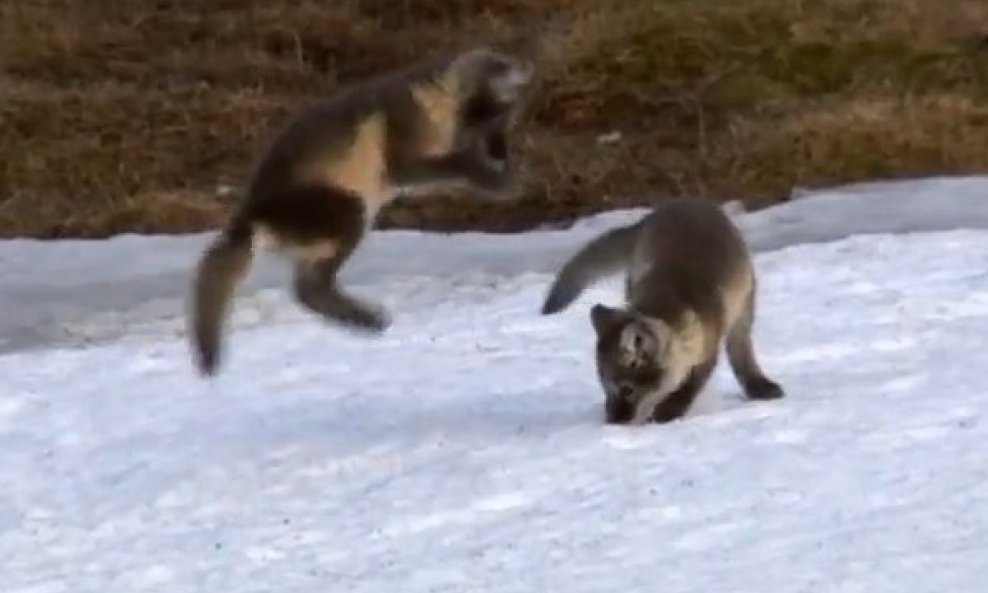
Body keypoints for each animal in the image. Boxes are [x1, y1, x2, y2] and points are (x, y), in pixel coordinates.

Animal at [189, 48, 536, 376]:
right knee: (308, 289)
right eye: (493, 125)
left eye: (504, 128)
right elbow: (452, 164)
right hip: (350, 211)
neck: (436, 105)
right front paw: (495, 180)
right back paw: (368, 320)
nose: (503, 158)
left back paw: (360, 319)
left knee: (307, 287)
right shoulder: (402, 148)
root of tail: (250, 216)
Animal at [536, 197, 784, 424]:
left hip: (743, 311)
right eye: (605, 387)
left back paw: (760, 387)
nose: (612, 422)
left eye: (627, 389)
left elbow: (686, 390)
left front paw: (665, 415)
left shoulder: (708, 351)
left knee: (742, 354)